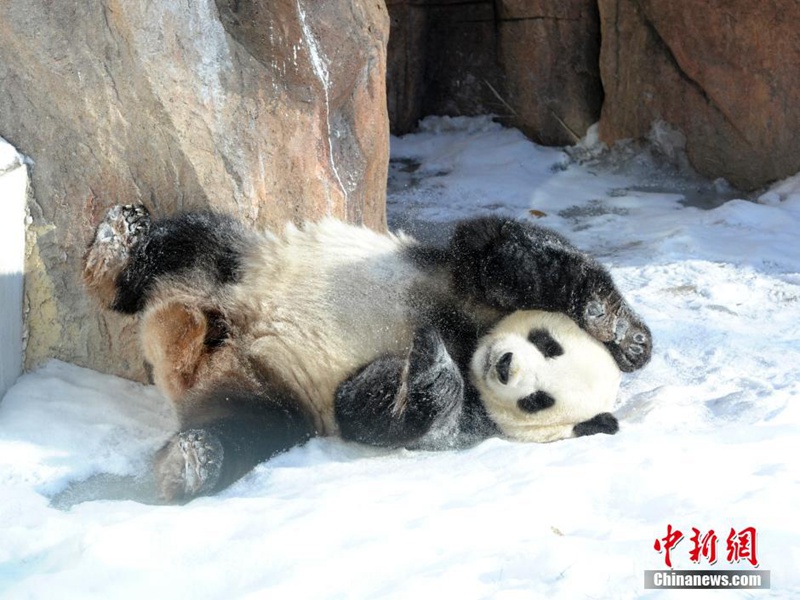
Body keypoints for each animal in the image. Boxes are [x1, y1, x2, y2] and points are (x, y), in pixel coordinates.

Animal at [84, 205, 652, 502]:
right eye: (545, 343)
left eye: (539, 399)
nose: (505, 365)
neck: (469, 339)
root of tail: (185, 354)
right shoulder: (455, 281)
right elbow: (502, 251)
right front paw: (619, 330)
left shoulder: (473, 417)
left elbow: (369, 410)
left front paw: (428, 373)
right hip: (241, 266)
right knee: (191, 243)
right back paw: (114, 249)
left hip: (264, 396)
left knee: (247, 429)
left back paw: (190, 463)